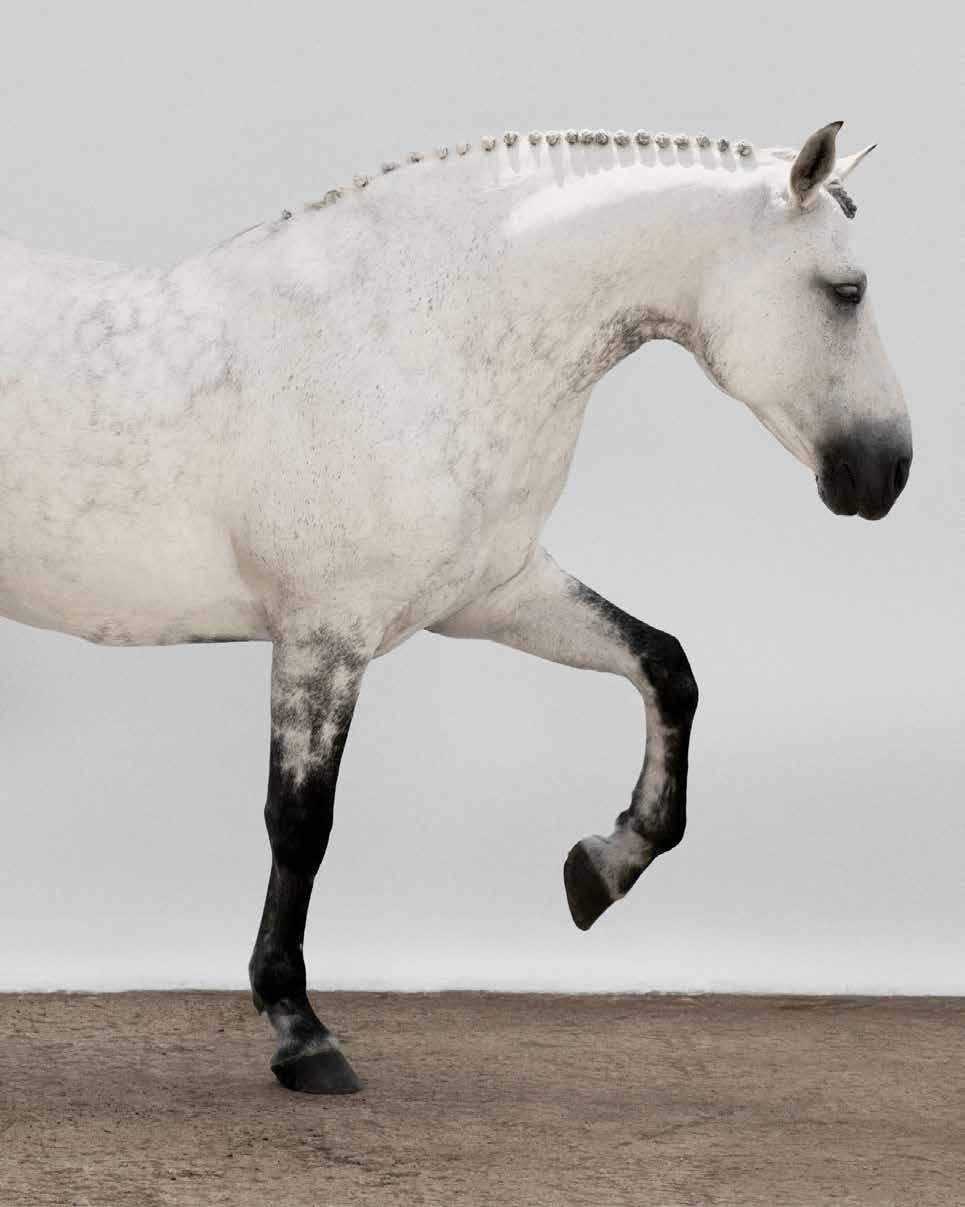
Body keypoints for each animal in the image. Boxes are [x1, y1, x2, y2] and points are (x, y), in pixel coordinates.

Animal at [0, 120, 912, 1093]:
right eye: (846, 291)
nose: (886, 472)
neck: (410, 341)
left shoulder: (493, 594)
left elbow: (665, 666)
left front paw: (603, 867)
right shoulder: (324, 636)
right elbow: (301, 824)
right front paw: (301, 1031)